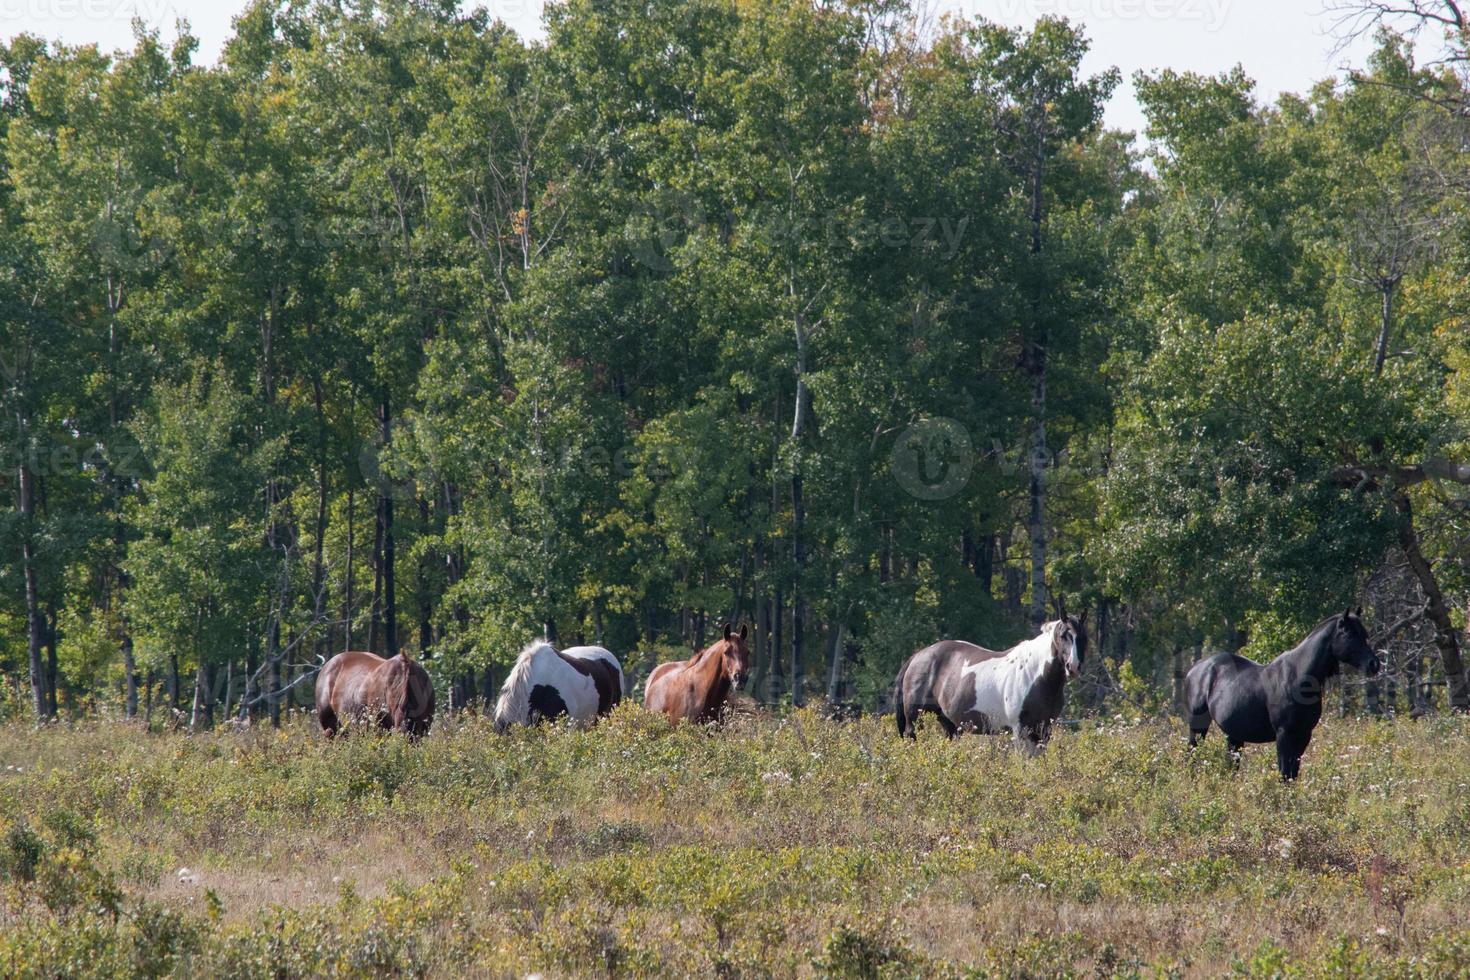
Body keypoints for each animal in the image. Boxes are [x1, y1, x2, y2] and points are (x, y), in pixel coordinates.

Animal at [887, 614, 1087, 758]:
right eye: (1064, 635)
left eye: (1083, 637)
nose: (1073, 666)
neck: (1034, 674)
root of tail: (918, 656)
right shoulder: (1020, 730)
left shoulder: (1044, 730)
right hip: (915, 720)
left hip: (949, 724)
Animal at [1181, 605, 1375, 781]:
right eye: (1349, 634)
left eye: (1364, 634)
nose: (1374, 664)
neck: (1298, 676)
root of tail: (1196, 668)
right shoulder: (1284, 734)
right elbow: (1284, 773)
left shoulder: (1303, 735)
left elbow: (1292, 774)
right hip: (1198, 726)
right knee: (1192, 755)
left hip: (1234, 734)